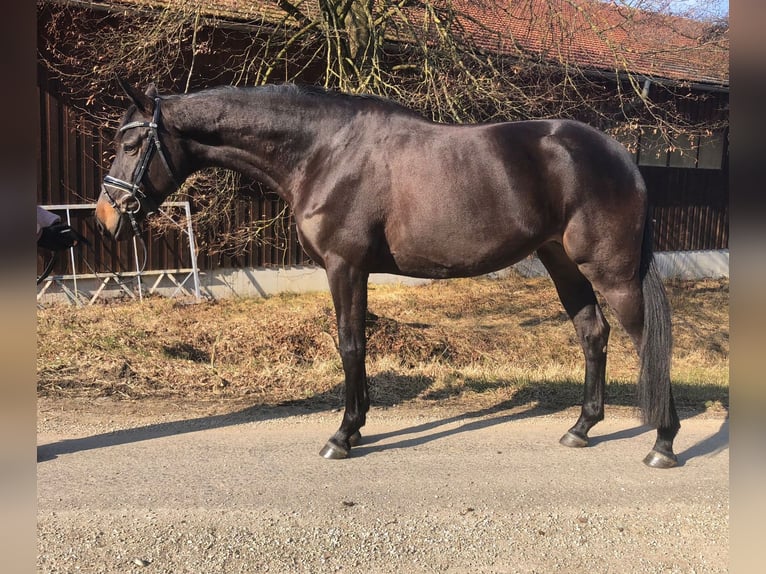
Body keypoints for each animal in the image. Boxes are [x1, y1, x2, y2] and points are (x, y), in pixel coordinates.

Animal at [97, 80, 684, 468]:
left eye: (131, 144)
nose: (106, 215)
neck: (324, 152)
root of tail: (622, 157)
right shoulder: (351, 270)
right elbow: (356, 343)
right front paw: (356, 428)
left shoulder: (346, 266)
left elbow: (350, 343)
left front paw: (343, 435)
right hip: (562, 262)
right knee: (593, 333)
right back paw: (582, 428)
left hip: (611, 272)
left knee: (647, 340)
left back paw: (663, 443)